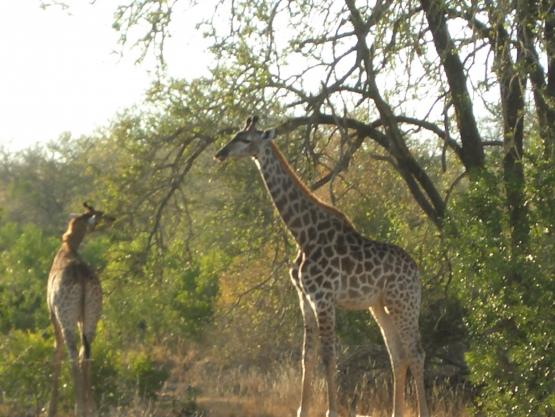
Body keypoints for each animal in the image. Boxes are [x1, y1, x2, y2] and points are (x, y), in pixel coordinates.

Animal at [46, 202, 114, 416]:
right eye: (100, 215)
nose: (113, 218)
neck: (68, 247)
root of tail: (83, 278)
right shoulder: (81, 318)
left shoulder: (53, 314)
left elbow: (57, 352)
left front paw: (50, 409)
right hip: (93, 315)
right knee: (86, 356)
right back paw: (91, 407)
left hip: (66, 318)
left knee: (73, 357)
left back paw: (79, 407)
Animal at [216, 116, 430, 416]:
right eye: (235, 134)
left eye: (246, 139)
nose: (220, 153)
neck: (303, 233)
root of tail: (417, 272)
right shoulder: (304, 298)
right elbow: (307, 355)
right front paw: (302, 409)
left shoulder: (323, 297)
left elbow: (329, 355)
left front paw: (332, 410)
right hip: (380, 305)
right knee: (397, 355)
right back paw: (395, 412)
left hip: (403, 302)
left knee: (416, 353)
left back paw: (423, 411)